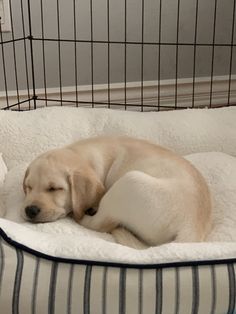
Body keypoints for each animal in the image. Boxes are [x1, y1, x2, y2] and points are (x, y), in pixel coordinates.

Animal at [22, 136, 213, 249]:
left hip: (128, 182)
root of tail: (191, 229)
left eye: (54, 188)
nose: (30, 210)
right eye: (28, 187)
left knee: (98, 224)